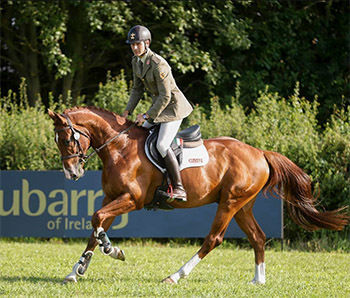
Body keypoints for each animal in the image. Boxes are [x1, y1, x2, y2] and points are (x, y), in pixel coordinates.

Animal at [47, 106, 348, 284]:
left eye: (67, 139)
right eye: (58, 140)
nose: (72, 173)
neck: (119, 147)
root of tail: (260, 153)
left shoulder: (131, 200)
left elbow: (97, 221)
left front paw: (114, 250)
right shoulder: (111, 198)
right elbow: (95, 227)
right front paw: (77, 270)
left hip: (229, 203)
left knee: (213, 239)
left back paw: (176, 275)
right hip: (243, 205)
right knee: (258, 237)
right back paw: (258, 281)